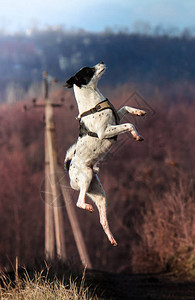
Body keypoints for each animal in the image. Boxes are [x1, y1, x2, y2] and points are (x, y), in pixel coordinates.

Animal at [64, 61, 145, 246]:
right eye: (88, 70)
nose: (101, 62)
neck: (93, 101)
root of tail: (69, 169)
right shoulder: (105, 131)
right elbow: (129, 125)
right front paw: (136, 134)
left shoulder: (116, 120)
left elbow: (125, 108)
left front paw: (138, 111)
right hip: (86, 177)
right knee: (79, 202)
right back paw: (87, 207)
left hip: (100, 195)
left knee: (103, 221)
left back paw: (111, 238)